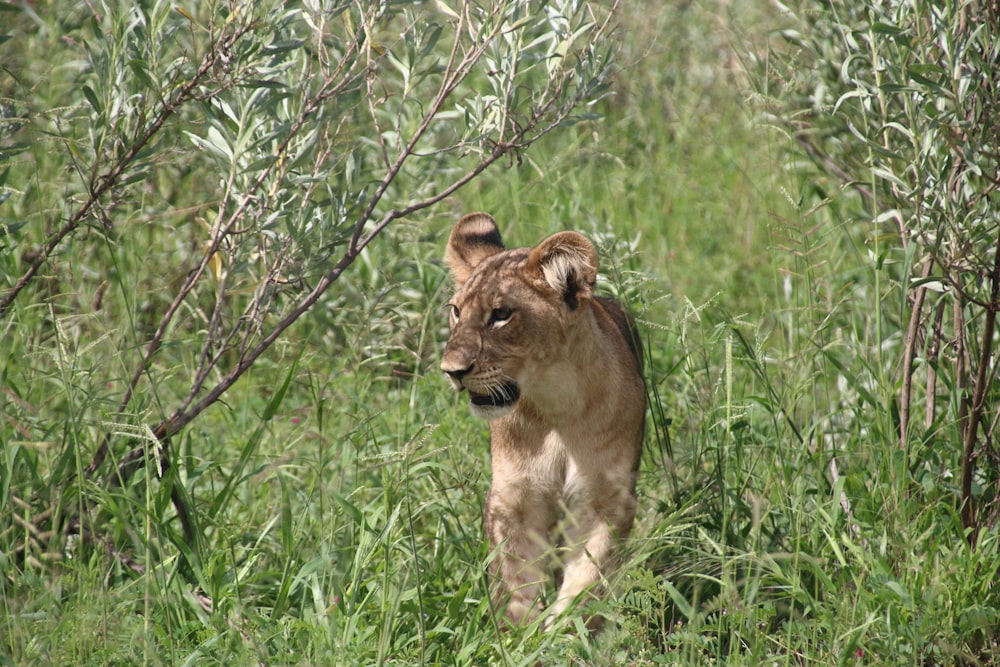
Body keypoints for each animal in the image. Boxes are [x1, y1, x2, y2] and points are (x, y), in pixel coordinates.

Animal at [442, 213, 644, 628]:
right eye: (456, 311)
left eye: (501, 315)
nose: (451, 370)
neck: (555, 406)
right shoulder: (512, 498)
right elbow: (516, 582)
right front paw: (521, 634)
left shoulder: (607, 500)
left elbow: (587, 579)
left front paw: (562, 631)